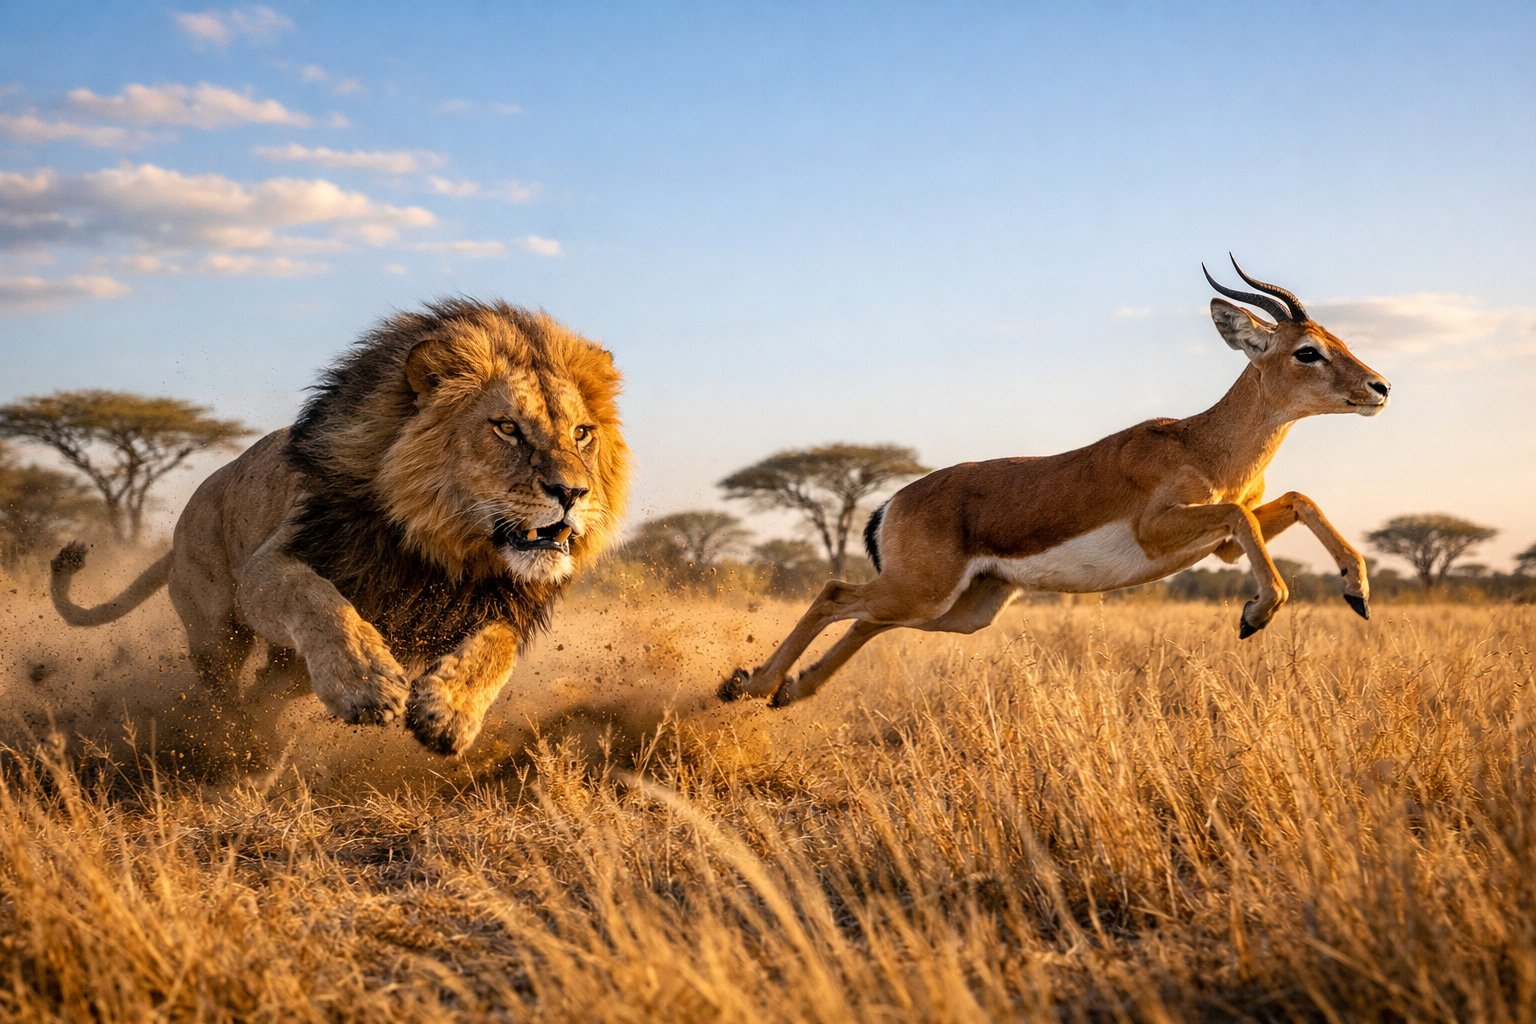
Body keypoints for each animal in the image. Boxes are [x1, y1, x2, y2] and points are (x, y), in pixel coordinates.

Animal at [49, 299, 629, 757]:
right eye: (507, 428)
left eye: (582, 433)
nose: (572, 494)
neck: (439, 547)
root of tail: (178, 531)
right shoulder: (269, 567)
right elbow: (319, 601)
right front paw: (366, 684)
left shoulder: (501, 601)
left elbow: (496, 648)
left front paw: (448, 712)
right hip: (216, 629)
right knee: (223, 689)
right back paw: (234, 741)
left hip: (288, 668)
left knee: (265, 691)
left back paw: (260, 740)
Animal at [720, 257, 1391, 708]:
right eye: (1307, 351)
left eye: (1339, 339)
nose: (1379, 387)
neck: (1203, 444)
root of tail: (893, 502)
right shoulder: (1163, 530)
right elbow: (1243, 513)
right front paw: (1257, 612)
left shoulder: (1223, 547)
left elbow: (1297, 500)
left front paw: (1356, 591)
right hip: (923, 593)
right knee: (835, 593)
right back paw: (749, 684)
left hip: (962, 610)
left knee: (863, 620)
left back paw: (788, 690)